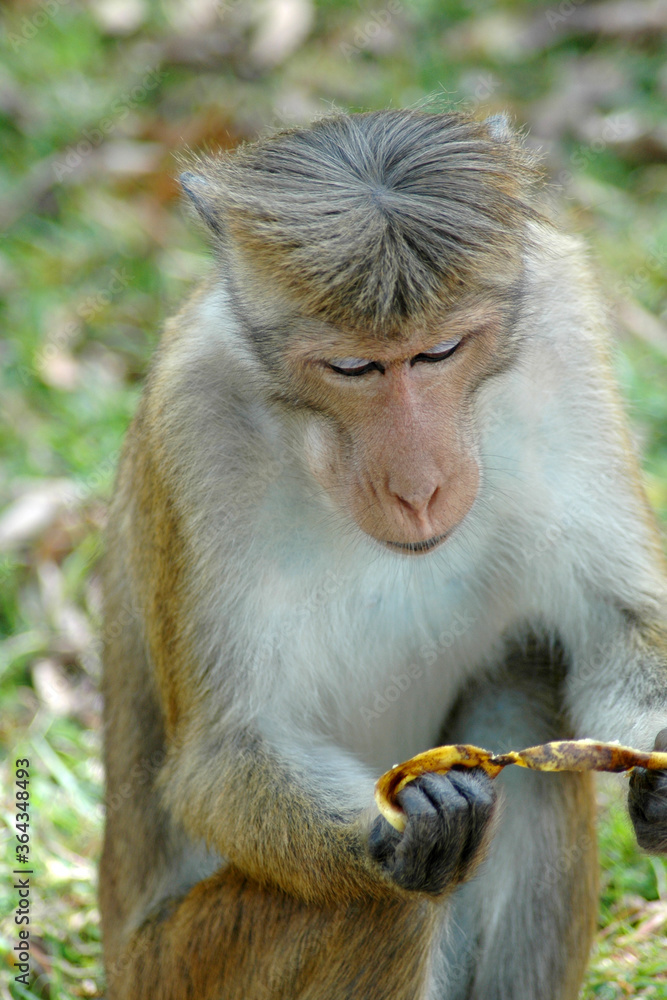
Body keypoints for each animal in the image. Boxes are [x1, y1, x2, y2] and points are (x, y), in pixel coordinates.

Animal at [100, 110, 667, 1000]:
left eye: (440, 351)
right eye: (353, 367)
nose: (418, 486)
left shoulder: (560, 332)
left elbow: (617, 621)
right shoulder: (196, 414)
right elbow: (226, 755)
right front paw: (400, 837)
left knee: (521, 684)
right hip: (178, 968)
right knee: (390, 906)